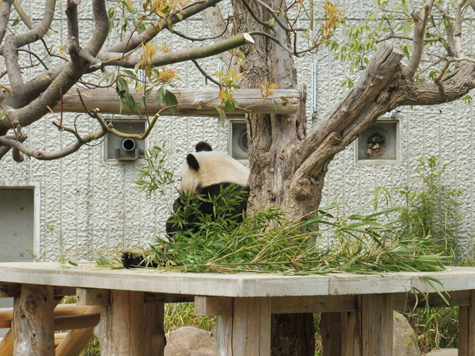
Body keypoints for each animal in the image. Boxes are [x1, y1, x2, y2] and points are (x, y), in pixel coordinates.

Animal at [121, 140, 251, 268]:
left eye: (181, 178)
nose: (180, 194)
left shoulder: (224, 195)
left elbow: (209, 224)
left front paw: (173, 219)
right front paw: (177, 206)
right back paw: (131, 258)